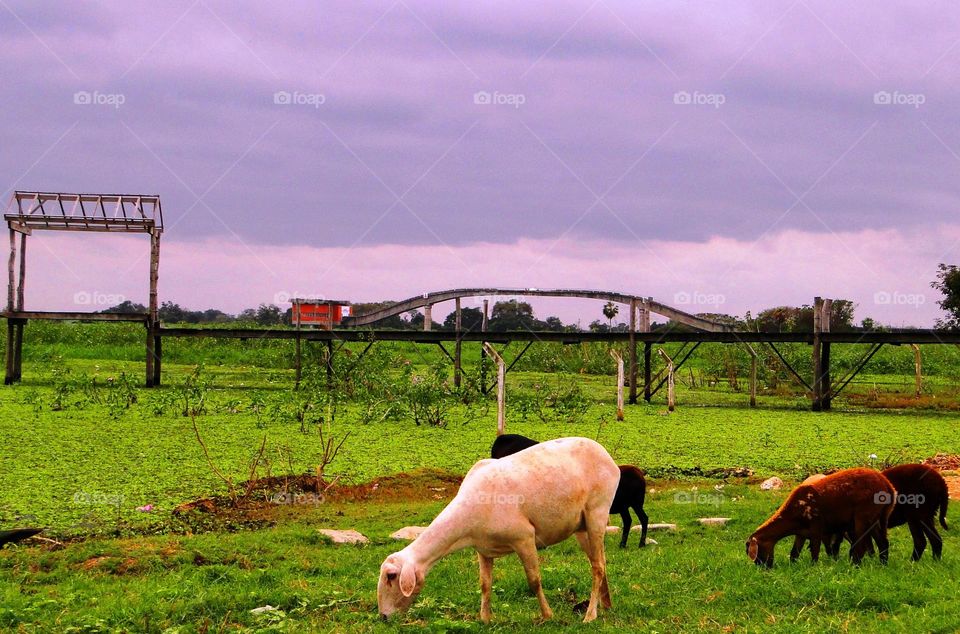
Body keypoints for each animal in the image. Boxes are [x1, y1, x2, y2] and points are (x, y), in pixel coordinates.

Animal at [376, 436, 624, 620]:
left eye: (391, 576)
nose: (384, 617)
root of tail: (609, 458)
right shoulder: (483, 549)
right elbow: (485, 584)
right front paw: (485, 618)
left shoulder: (524, 537)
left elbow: (534, 581)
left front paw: (547, 615)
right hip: (581, 526)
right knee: (600, 561)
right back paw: (606, 604)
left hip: (597, 512)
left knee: (597, 567)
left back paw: (590, 615)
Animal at [748, 466, 896, 564]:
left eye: (757, 553)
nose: (764, 569)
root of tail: (889, 486)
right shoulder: (801, 533)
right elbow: (794, 553)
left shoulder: (816, 528)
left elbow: (815, 553)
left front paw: (813, 568)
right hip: (876, 518)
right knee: (883, 543)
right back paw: (882, 564)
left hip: (863, 516)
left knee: (861, 545)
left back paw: (855, 565)